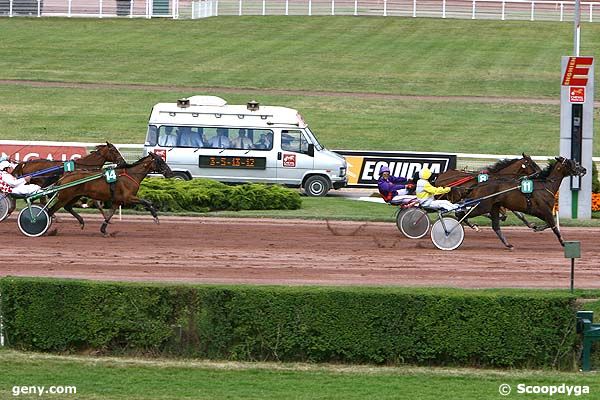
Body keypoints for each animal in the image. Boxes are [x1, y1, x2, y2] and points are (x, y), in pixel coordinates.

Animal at [454, 157, 584, 248]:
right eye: (571, 162)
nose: (584, 169)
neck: (545, 186)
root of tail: (479, 184)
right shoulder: (545, 210)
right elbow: (554, 227)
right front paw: (563, 242)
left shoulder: (539, 212)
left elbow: (549, 223)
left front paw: (537, 227)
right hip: (483, 206)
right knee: (461, 214)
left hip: (493, 206)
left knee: (495, 226)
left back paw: (508, 245)